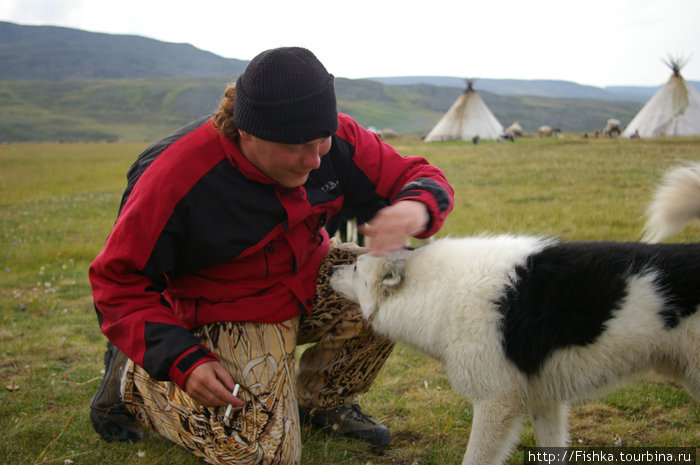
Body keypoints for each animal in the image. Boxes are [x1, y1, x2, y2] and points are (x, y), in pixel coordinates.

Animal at [330, 162, 700, 464]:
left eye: (356, 268)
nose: (330, 268)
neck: (435, 288)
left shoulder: (496, 403)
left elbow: (475, 458)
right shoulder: (545, 400)